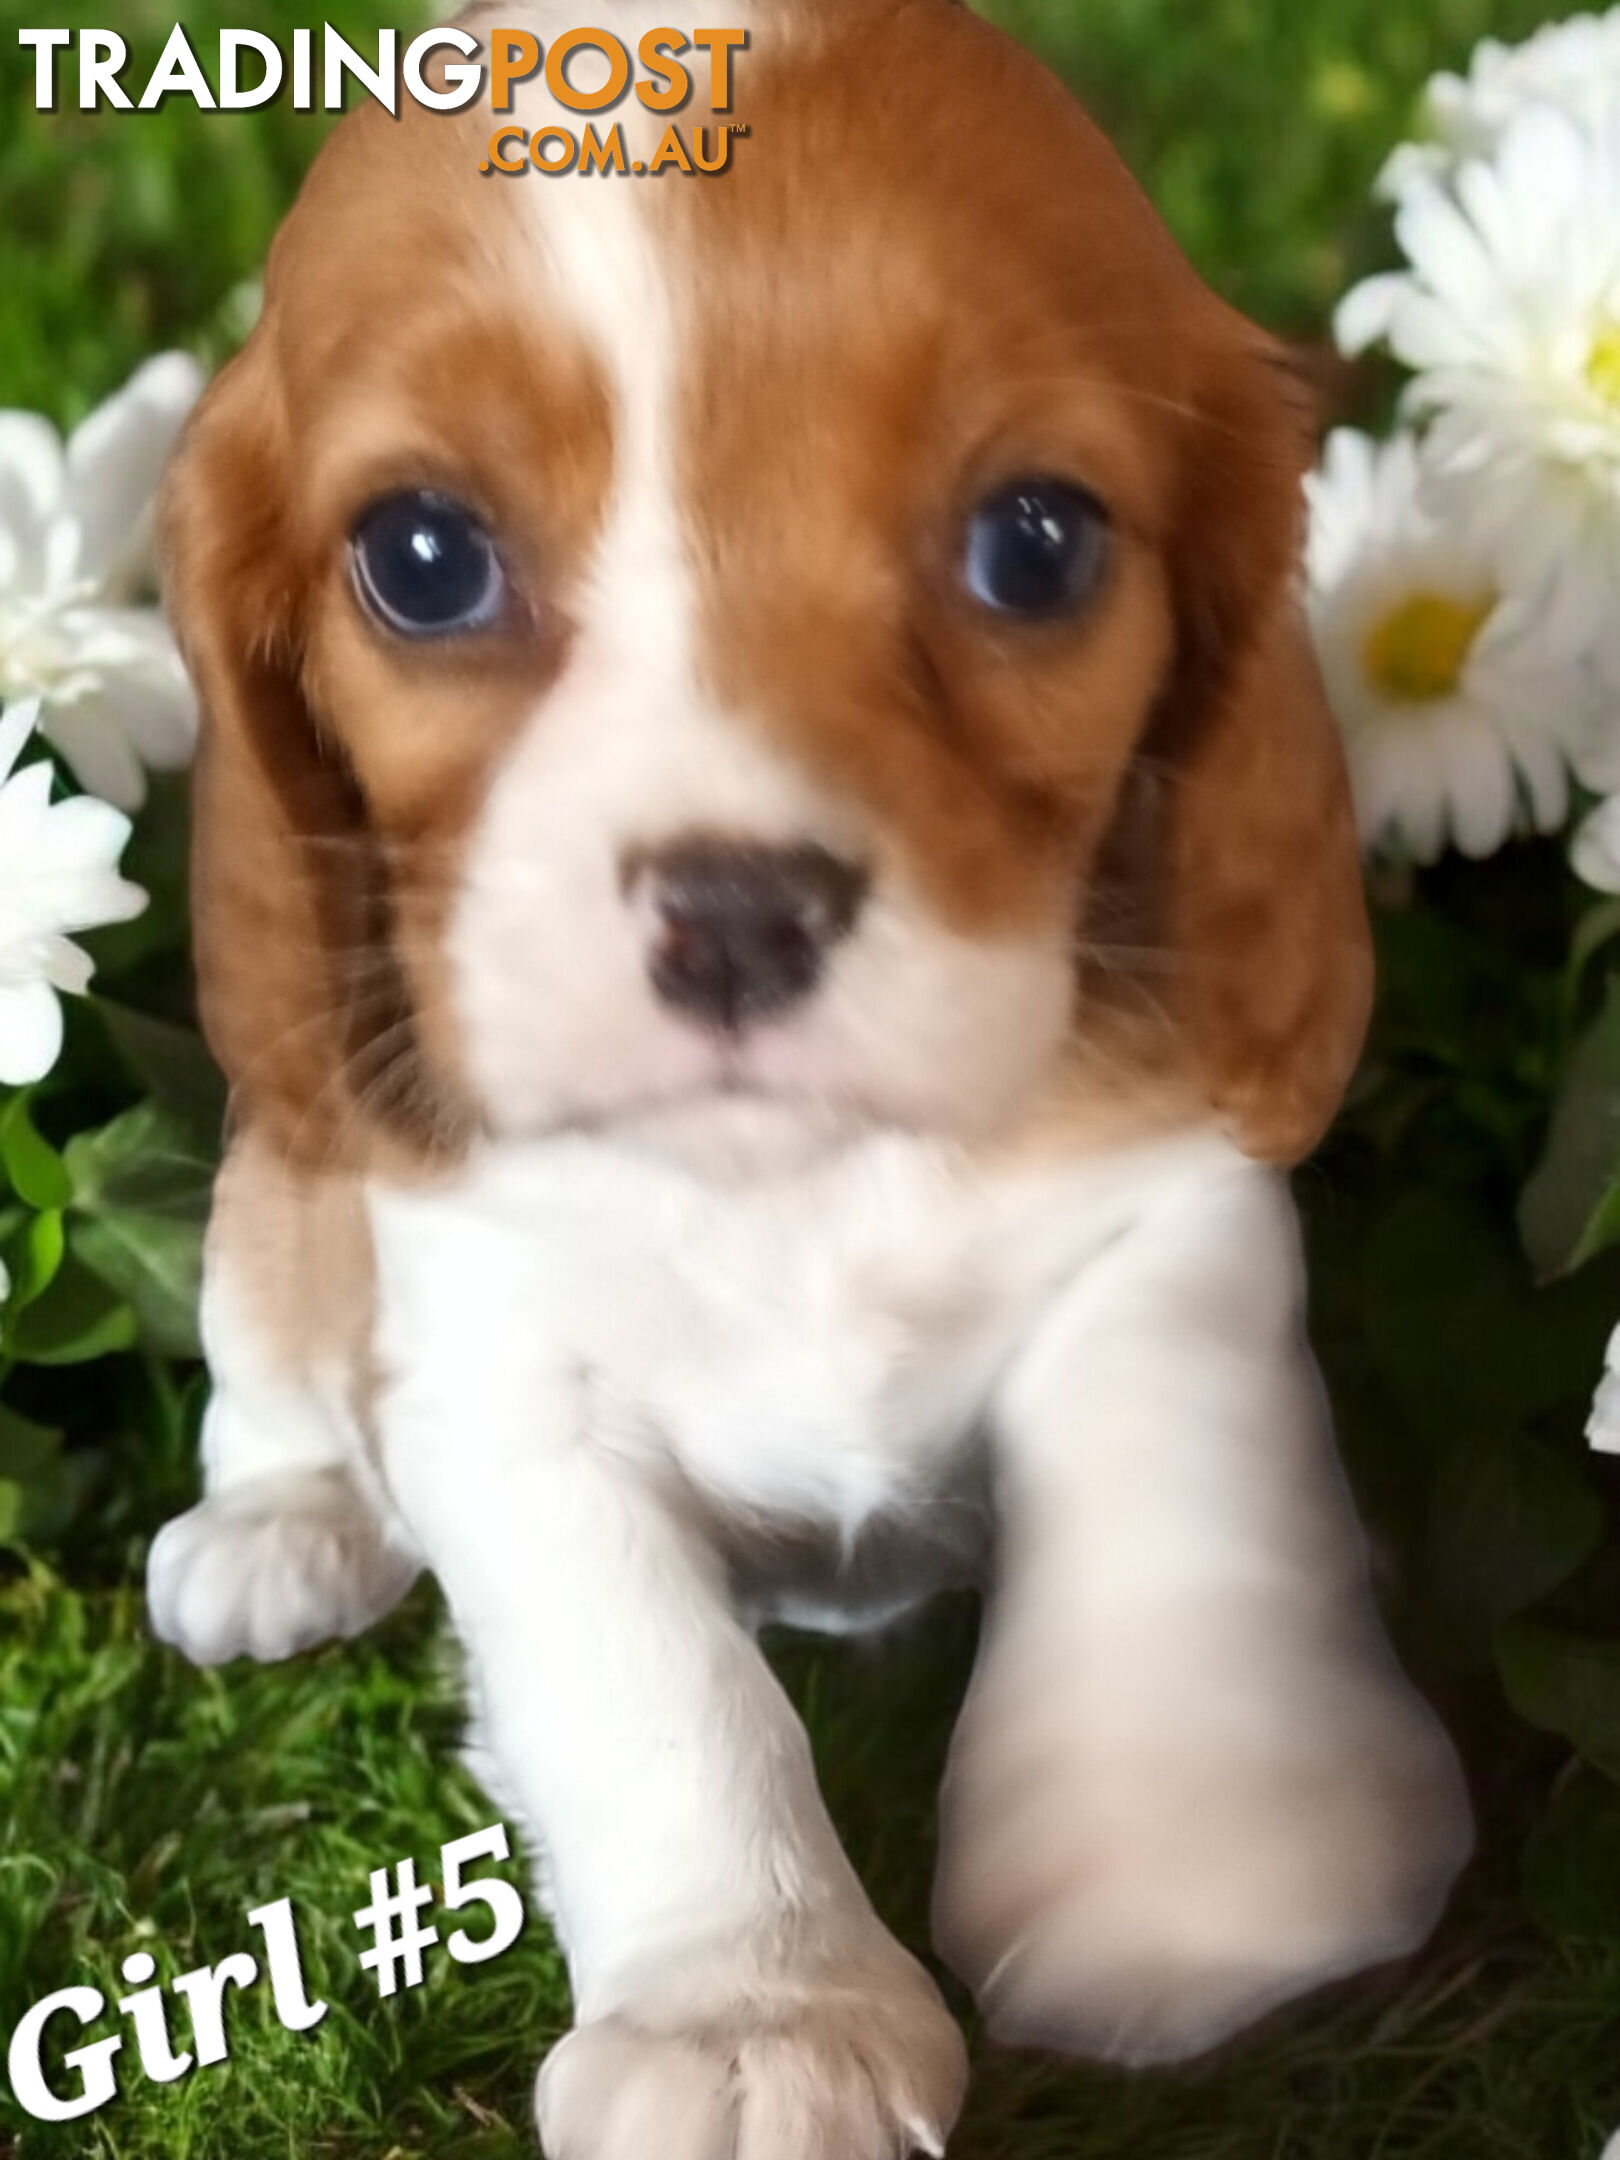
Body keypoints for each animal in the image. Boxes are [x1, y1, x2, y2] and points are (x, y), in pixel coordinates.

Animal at [145, 8, 1477, 2151]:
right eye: (422, 559)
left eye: (1037, 542)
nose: (738, 915)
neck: (790, 1182)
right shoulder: (503, 1390)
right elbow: (659, 1687)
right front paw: (755, 2012)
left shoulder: (1165, 1231)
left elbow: (1169, 1512)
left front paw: (1195, 1871)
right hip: (278, 1177)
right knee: (268, 1339)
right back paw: (280, 1532)